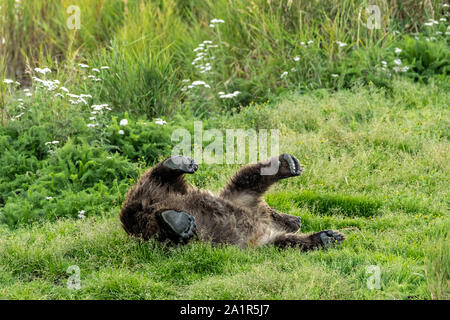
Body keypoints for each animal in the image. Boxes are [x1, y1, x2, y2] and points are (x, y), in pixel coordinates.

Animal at [119, 154, 344, 251]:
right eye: (276, 209)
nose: (298, 219)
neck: (264, 219)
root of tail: (148, 204)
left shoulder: (257, 232)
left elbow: (285, 242)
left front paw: (328, 237)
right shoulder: (244, 203)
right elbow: (247, 179)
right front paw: (286, 164)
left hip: (164, 193)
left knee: (158, 183)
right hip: (145, 225)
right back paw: (179, 222)